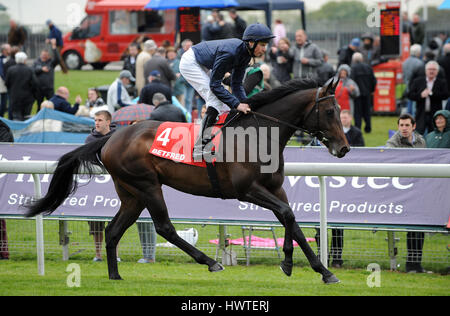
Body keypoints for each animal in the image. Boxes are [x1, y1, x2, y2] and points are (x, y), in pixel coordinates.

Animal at [26, 78, 350, 284]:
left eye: (338, 111)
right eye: (329, 111)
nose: (344, 148)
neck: (257, 134)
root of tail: (112, 136)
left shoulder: (275, 187)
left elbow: (291, 220)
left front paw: (320, 270)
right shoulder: (247, 190)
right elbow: (287, 215)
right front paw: (293, 263)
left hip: (131, 194)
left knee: (113, 230)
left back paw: (115, 275)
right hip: (147, 185)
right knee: (164, 227)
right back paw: (210, 261)